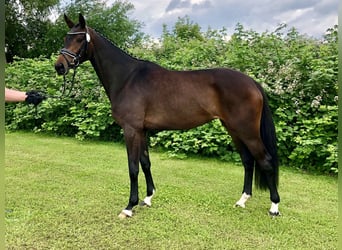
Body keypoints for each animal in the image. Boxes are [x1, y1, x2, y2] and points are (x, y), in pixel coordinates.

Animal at [54, 13, 280, 218]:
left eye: (79, 39)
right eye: (65, 38)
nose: (59, 66)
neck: (128, 78)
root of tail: (252, 83)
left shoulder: (131, 130)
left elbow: (133, 168)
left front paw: (129, 207)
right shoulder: (142, 131)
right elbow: (145, 163)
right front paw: (147, 198)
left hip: (247, 131)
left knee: (265, 161)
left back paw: (274, 207)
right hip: (233, 129)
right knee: (248, 161)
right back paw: (242, 200)